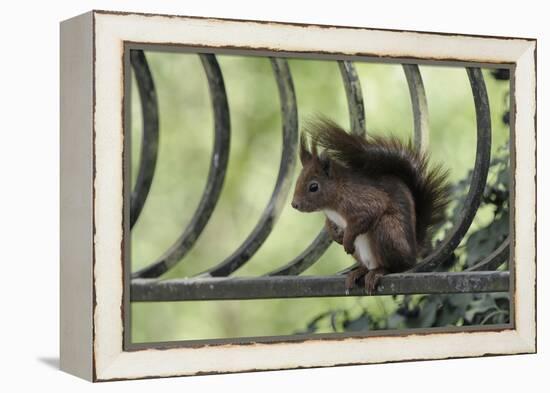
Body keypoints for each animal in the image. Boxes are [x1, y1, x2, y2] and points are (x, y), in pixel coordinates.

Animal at [292, 118, 450, 292]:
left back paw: (378, 272)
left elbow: (368, 213)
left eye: (313, 187)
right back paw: (358, 272)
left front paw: (346, 240)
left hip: (387, 230)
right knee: (367, 266)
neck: (332, 204)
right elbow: (329, 223)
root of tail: (413, 254)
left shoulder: (362, 199)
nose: (294, 204)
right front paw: (335, 234)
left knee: (394, 267)